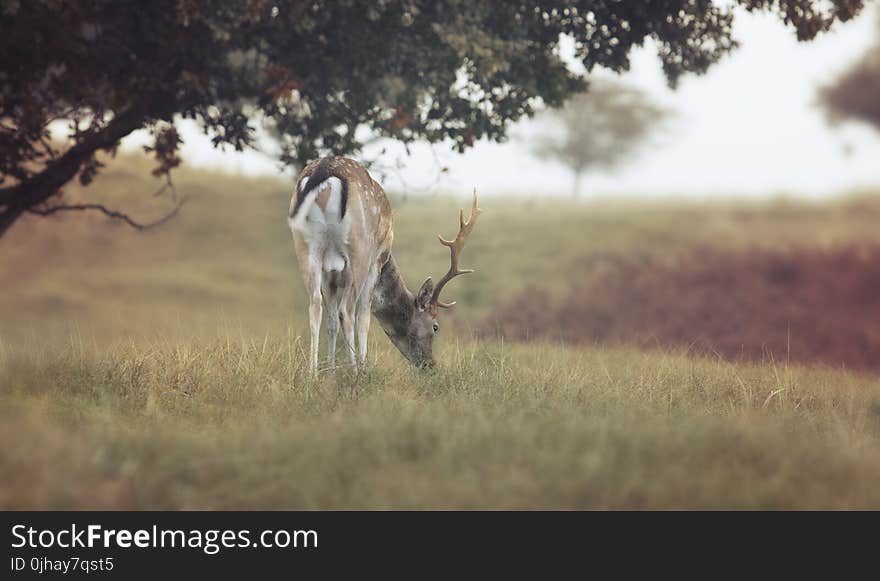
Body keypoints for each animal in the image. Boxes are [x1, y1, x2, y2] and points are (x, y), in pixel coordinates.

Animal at [288, 156, 482, 372]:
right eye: (435, 327)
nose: (430, 364)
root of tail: (324, 171)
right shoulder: (377, 262)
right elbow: (363, 316)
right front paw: (362, 368)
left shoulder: (329, 277)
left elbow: (331, 323)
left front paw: (330, 371)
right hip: (360, 251)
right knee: (346, 311)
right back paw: (354, 371)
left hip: (305, 247)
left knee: (315, 306)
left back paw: (312, 373)